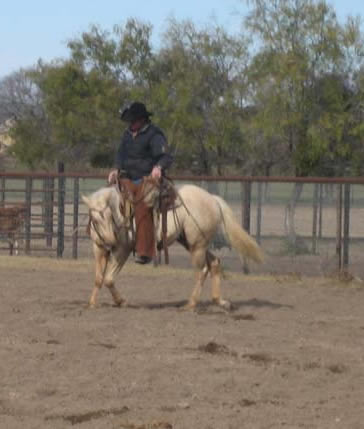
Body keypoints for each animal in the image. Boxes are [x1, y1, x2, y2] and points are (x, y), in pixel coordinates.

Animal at [82, 181, 264, 310]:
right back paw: (220, 301)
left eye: (108, 215)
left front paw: (122, 302)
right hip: (193, 243)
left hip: (197, 245)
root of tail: (213, 199)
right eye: (95, 219)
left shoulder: (122, 250)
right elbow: (99, 278)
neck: (120, 214)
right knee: (214, 263)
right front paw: (92, 303)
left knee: (201, 271)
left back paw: (191, 304)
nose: (110, 241)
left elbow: (108, 279)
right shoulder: (98, 249)